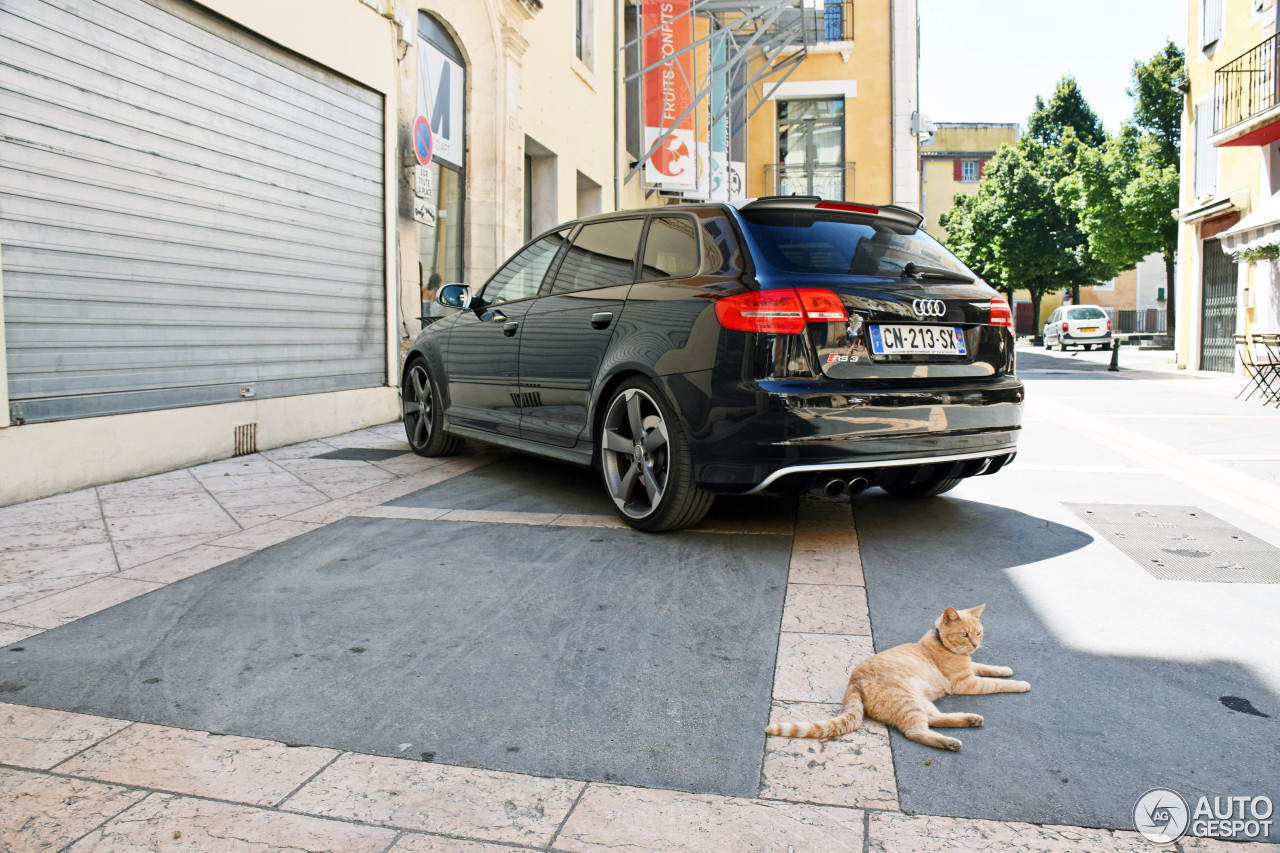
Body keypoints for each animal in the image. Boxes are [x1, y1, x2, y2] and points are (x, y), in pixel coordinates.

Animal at [762, 601, 1024, 747]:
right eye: (964, 634)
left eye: (979, 633)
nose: (975, 645)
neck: (942, 644)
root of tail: (853, 682)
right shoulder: (965, 683)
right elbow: (994, 684)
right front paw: (1021, 684)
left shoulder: (970, 668)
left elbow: (987, 668)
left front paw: (1006, 670)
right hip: (908, 701)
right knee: (916, 731)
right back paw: (950, 742)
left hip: (918, 701)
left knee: (933, 719)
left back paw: (970, 720)